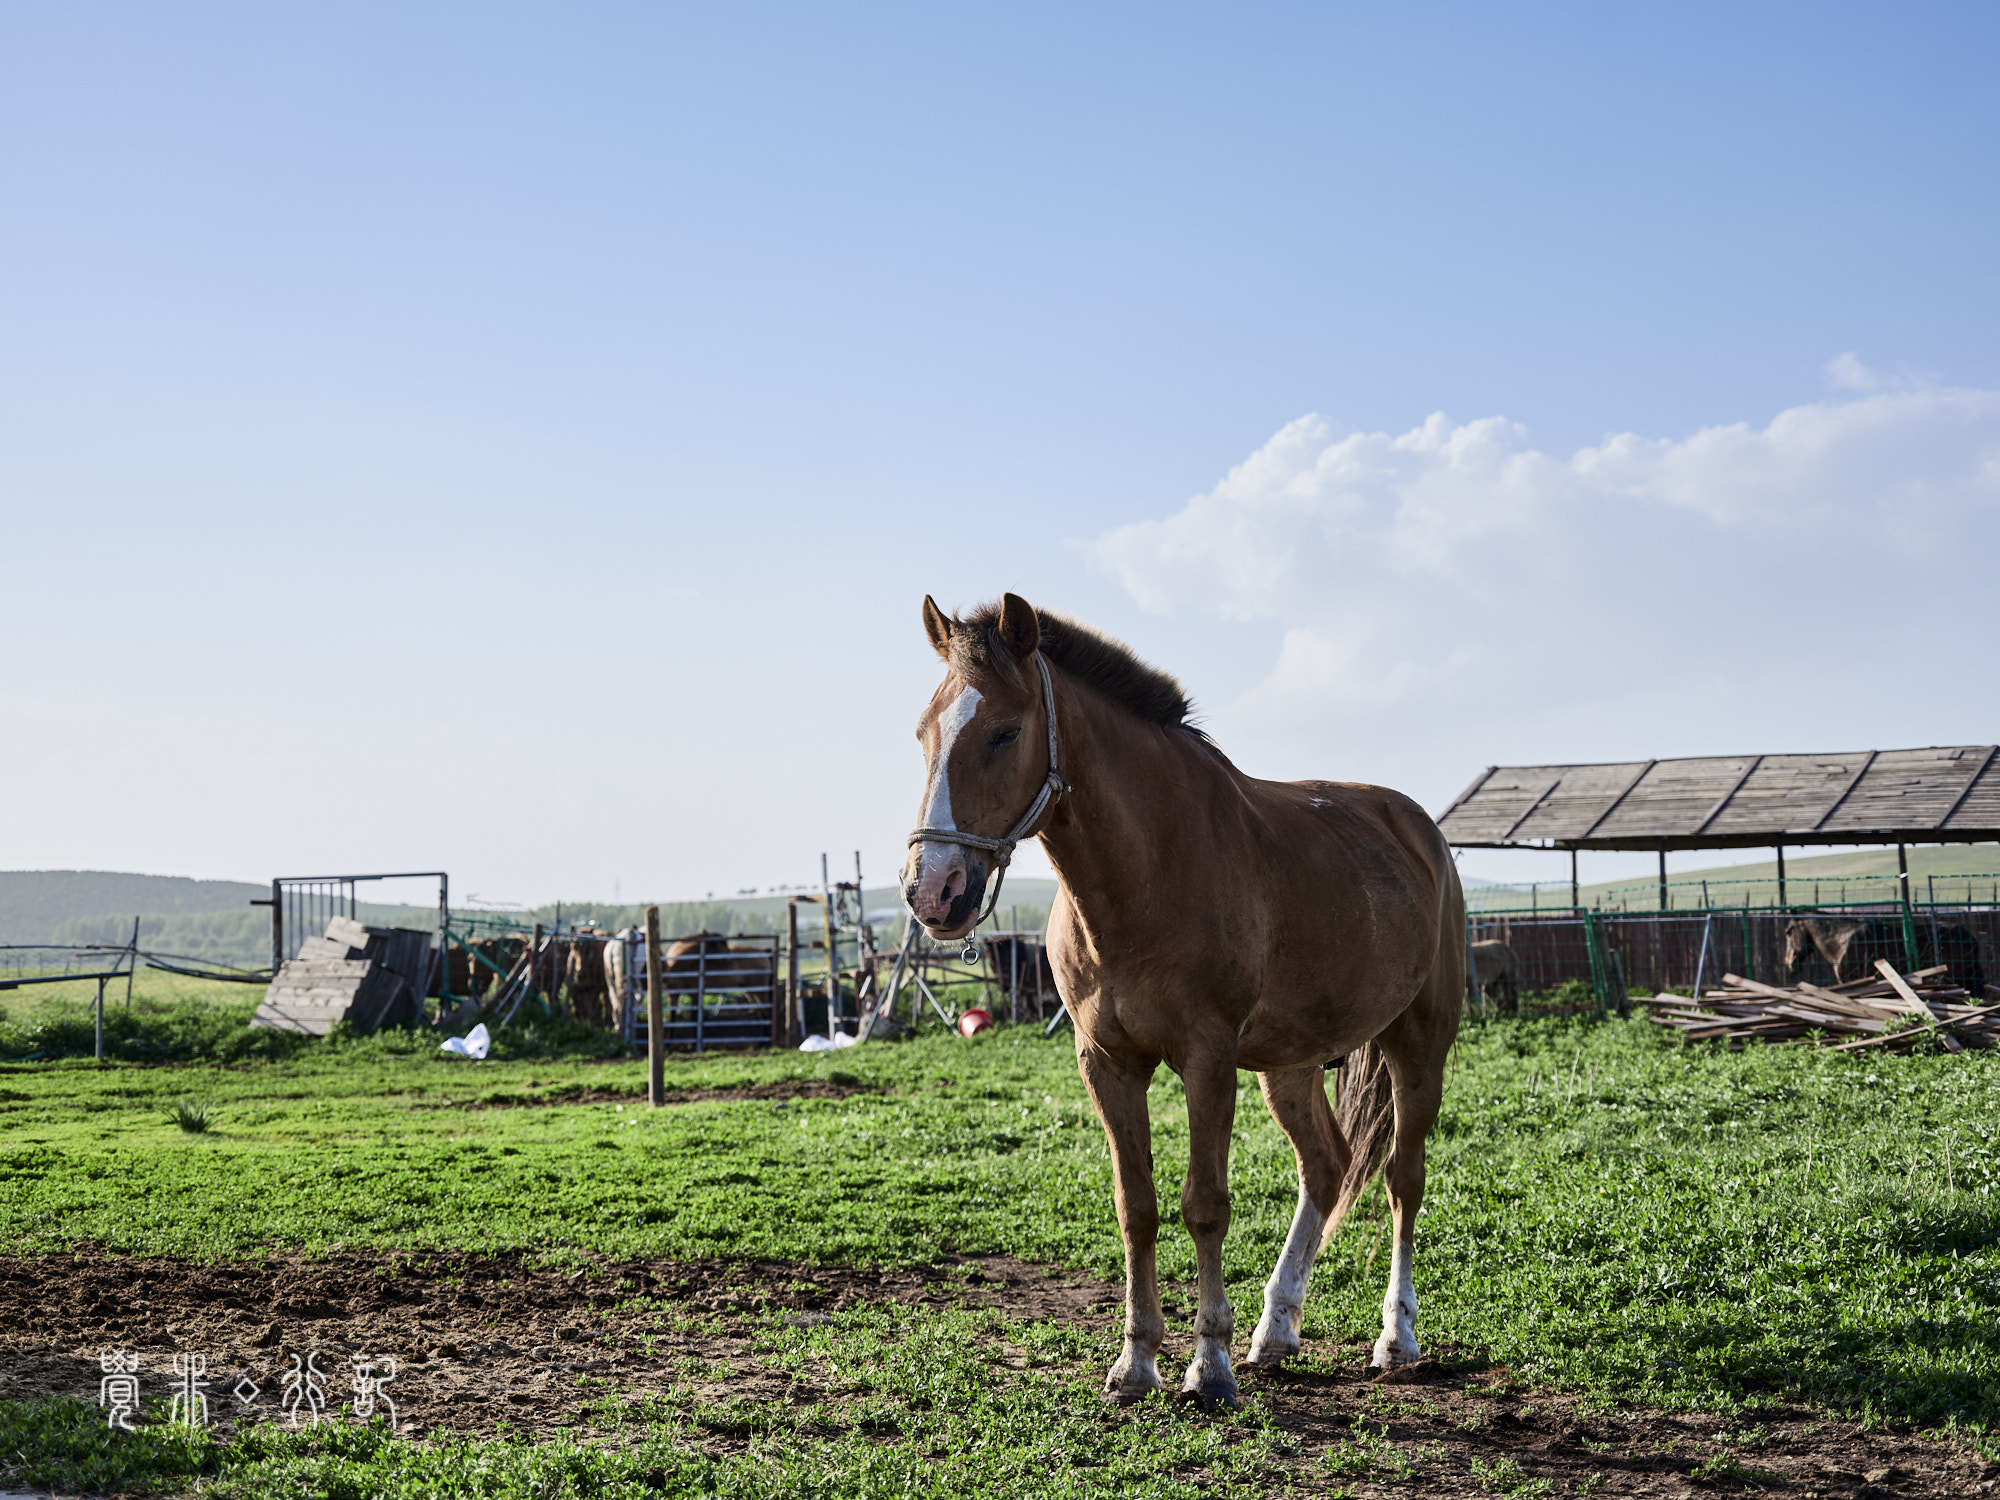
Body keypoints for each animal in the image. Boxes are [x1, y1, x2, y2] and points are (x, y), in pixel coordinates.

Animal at [904, 596, 1456, 1408]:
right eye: (925, 732)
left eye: (1004, 731)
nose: (932, 890)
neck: (1147, 872)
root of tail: (1418, 829)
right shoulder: (1106, 1063)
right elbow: (1136, 1207)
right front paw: (1136, 1362)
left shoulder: (1208, 1059)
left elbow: (1205, 1205)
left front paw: (1209, 1365)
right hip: (1290, 1065)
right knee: (1326, 1167)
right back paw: (1276, 1330)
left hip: (1418, 1046)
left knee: (1401, 1181)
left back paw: (1396, 1337)